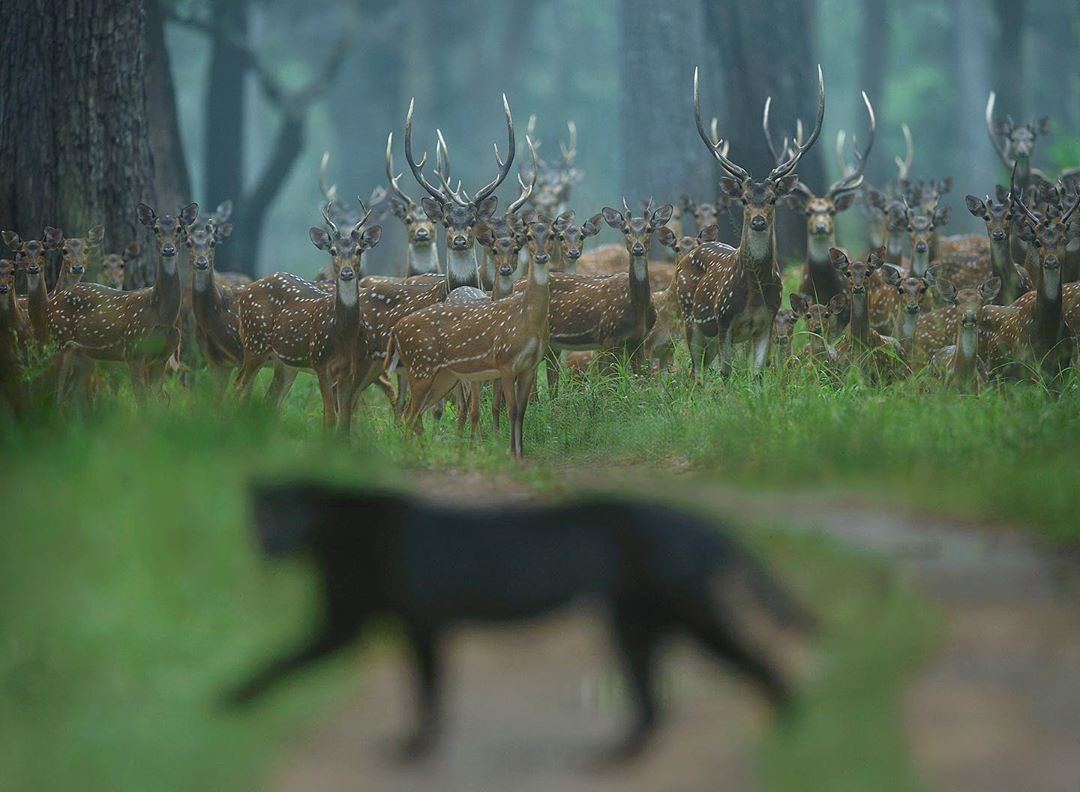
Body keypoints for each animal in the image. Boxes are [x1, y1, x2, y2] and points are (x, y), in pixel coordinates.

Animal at [390, 219, 557, 458]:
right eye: (529, 236)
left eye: (553, 234)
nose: (542, 257)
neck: (527, 319)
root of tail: (395, 330)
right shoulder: (505, 361)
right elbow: (512, 409)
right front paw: (509, 453)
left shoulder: (530, 367)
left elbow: (521, 411)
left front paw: (520, 453)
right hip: (421, 368)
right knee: (411, 414)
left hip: (442, 376)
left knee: (416, 413)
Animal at [682, 63, 825, 378]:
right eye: (745, 200)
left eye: (772, 199)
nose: (758, 222)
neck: (753, 296)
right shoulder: (723, 320)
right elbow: (726, 373)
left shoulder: (765, 323)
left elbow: (758, 374)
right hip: (690, 319)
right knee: (695, 372)